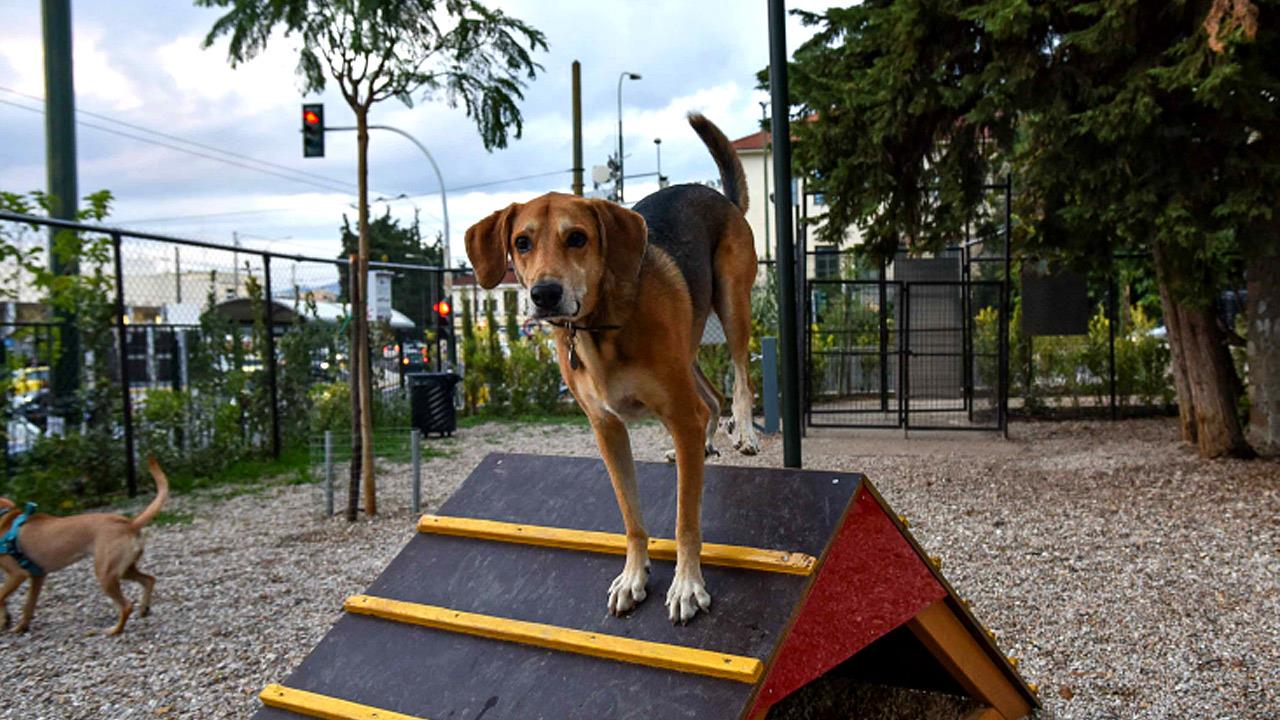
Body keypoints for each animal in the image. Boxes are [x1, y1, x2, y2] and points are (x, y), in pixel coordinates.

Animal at [0, 456, 170, 630]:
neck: (5, 519)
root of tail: (129, 523)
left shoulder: (18, 574)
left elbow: (1, 597)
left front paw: (7, 621)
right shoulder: (37, 576)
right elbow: (28, 606)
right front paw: (17, 625)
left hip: (105, 574)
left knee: (126, 606)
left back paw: (114, 631)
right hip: (123, 570)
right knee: (149, 580)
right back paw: (144, 608)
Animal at [465, 113, 752, 622]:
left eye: (577, 238)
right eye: (522, 242)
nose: (544, 294)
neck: (599, 327)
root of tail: (721, 197)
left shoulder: (677, 413)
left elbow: (685, 520)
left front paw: (686, 585)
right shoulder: (607, 429)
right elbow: (631, 515)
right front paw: (635, 576)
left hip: (732, 302)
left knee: (738, 378)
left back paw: (746, 431)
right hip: (688, 349)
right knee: (710, 398)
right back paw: (703, 443)